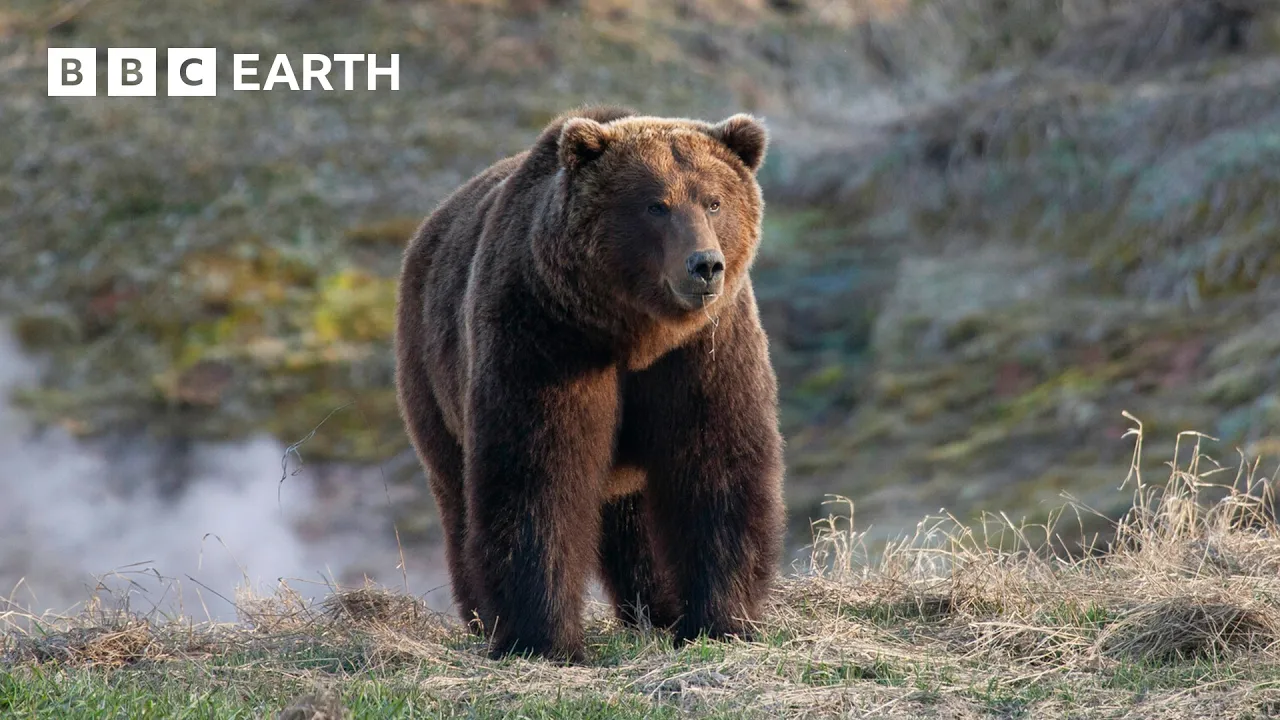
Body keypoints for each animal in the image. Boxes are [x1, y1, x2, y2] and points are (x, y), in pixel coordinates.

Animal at [394, 105, 785, 661]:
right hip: (431, 373)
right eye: (655, 205)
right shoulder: (545, 338)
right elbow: (539, 476)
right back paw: (481, 618)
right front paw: (544, 639)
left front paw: (720, 620)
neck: (636, 333)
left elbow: (717, 467)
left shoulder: (704, 351)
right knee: (457, 492)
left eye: (714, 201)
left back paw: (657, 608)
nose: (705, 265)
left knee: (634, 517)